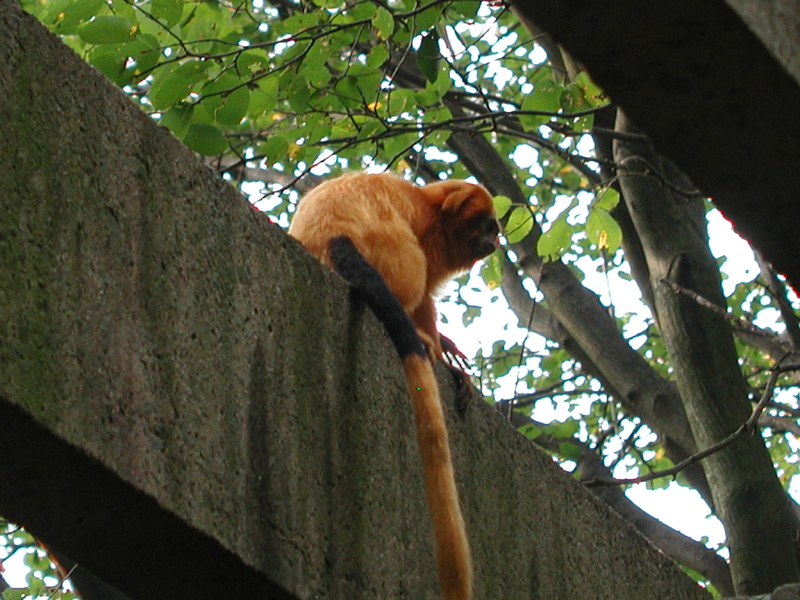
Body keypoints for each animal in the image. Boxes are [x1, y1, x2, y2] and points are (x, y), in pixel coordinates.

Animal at [288, 169, 500, 600]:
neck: (431, 208)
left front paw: (445, 348)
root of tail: (333, 237)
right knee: (411, 272)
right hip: (388, 251)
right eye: (487, 226)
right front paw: (438, 347)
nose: (493, 242)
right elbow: (425, 295)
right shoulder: (428, 238)